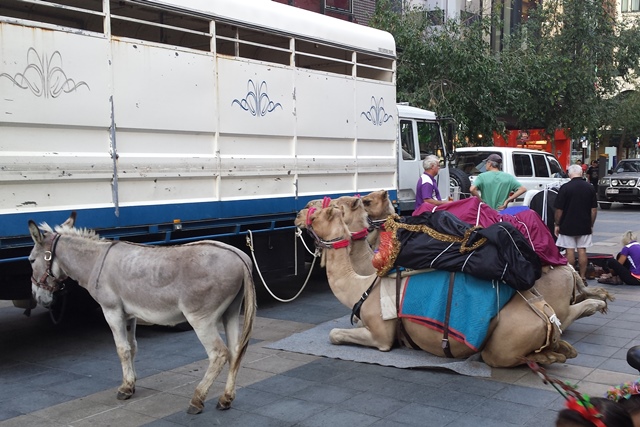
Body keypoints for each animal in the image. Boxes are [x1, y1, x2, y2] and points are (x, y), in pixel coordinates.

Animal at [28, 212, 257, 414]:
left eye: (30, 260)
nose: (37, 298)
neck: (95, 262)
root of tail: (239, 257)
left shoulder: (111, 311)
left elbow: (122, 349)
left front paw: (124, 389)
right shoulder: (130, 315)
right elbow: (133, 348)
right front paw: (131, 384)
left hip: (201, 319)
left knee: (219, 354)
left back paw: (197, 400)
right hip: (231, 312)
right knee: (236, 351)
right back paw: (226, 399)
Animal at [297, 206, 612, 368]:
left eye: (317, 212)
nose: (298, 215)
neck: (362, 284)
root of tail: (547, 317)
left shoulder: (381, 335)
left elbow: (335, 334)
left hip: (505, 342)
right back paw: (568, 342)